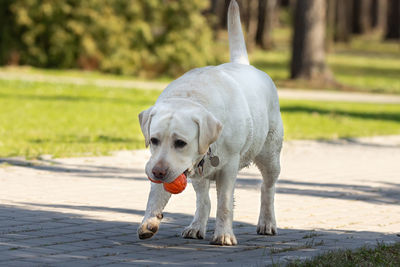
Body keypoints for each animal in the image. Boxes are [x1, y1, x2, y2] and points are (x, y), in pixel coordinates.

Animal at [139, 0, 282, 247]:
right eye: (154, 140)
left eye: (181, 142)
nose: (158, 172)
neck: (191, 98)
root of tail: (245, 64)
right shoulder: (162, 162)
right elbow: (155, 195)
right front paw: (149, 221)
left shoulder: (228, 168)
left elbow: (224, 204)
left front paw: (224, 235)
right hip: (199, 173)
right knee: (203, 199)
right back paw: (196, 226)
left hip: (270, 155)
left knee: (267, 188)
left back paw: (267, 222)